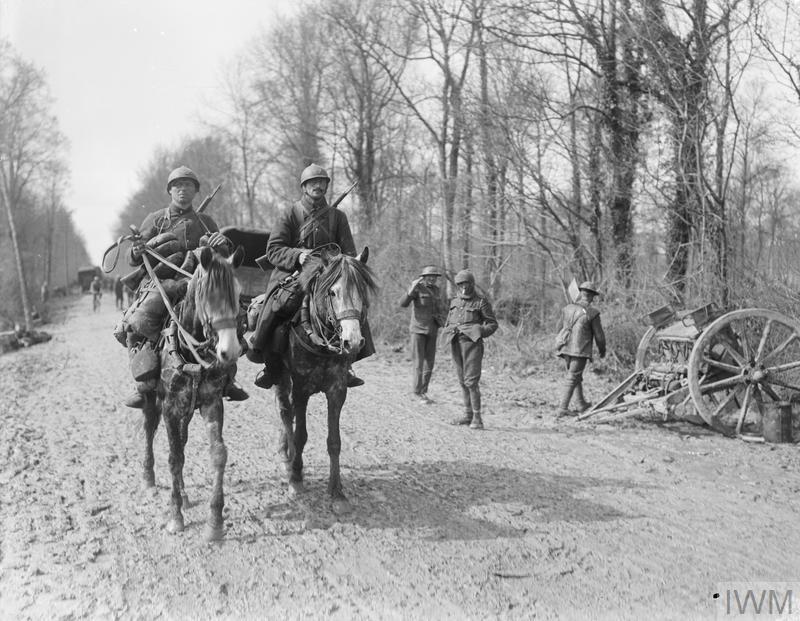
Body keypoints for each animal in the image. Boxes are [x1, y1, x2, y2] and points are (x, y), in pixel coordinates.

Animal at [139, 245, 244, 540]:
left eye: (238, 294)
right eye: (209, 295)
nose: (230, 351)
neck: (190, 354)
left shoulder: (212, 403)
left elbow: (218, 454)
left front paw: (215, 522)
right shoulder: (170, 408)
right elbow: (174, 458)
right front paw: (175, 516)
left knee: (183, 443)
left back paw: (185, 495)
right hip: (153, 402)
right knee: (149, 431)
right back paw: (149, 480)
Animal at [274, 247, 376, 512]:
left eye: (362, 291)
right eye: (332, 291)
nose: (352, 341)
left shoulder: (337, 390)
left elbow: (334, 441)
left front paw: (337, 492)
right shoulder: (301, 389)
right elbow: (301, 435)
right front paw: (296, 479)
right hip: (281, 377)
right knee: (285, 412)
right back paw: (287, 456)